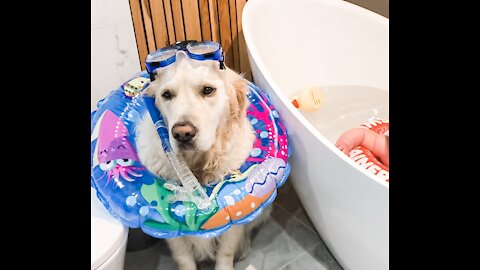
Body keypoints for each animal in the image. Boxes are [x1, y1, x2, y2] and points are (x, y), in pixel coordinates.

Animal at [135, 51, 272, 270]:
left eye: (208, 90)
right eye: (167, 94)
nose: (182, 133)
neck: (197, 167)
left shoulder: (234, 220)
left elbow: (226, 251)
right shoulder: (172, 233)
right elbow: (184, 257)